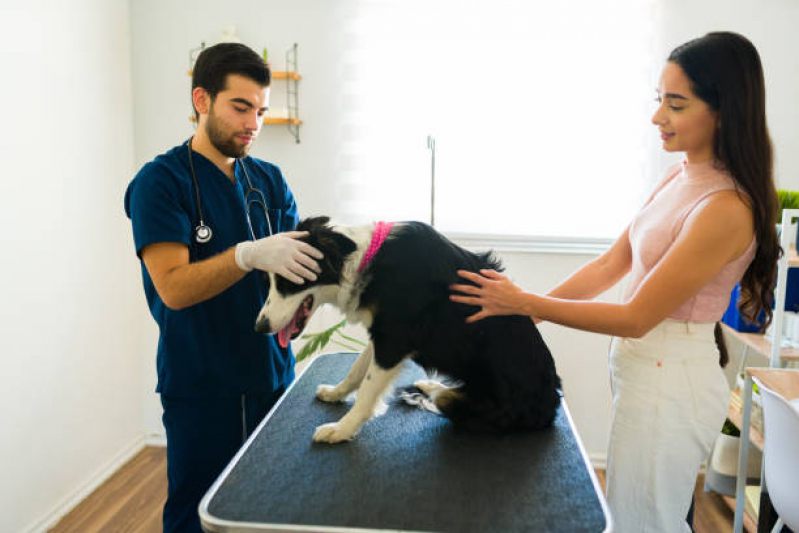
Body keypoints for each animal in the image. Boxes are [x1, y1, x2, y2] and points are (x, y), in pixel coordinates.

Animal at [256, 218, 564, 442]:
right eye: (268, 280)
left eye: (285, 281)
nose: (260, 327)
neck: (366, 260)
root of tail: (550, 407)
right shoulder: (382, 332)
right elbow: (357, 369)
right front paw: (336, 393)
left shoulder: (394, 338)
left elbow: (367, 391)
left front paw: (342, 429)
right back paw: (428, 385)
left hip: (482, 407)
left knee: (445, 400)